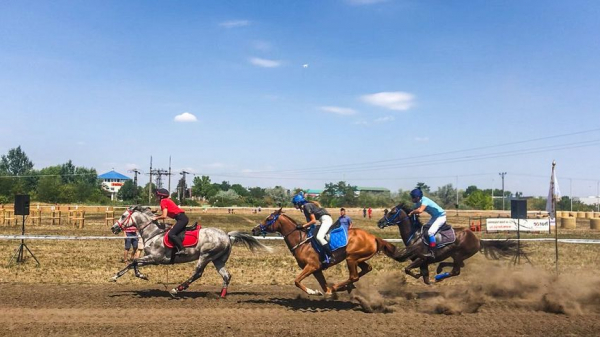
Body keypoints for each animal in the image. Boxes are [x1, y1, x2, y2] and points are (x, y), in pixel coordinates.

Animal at [110, 205, 272, 296]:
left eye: (123, 216)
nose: (113, 228)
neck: (154, 233)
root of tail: (227, 235)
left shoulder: (155, 258)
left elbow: (134, 261)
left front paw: (141, 276)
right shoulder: (151, 258)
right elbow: (132, 263)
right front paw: (115, 277)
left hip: (205, 256)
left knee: (197, 273)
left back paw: (177, 289)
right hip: (218, 260)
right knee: (226, 276)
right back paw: (222, 295)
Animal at [251, 209, 400, 296]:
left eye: (269, 219)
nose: (254, 229)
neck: (301, 240)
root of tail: (374, 237)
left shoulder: (312, 266)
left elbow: (297, 281)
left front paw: (313, 292)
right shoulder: (317, 269)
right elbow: (323, 287)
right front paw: (323, 291)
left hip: (351, 258)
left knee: (354, 276)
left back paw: (338, 286)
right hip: (358, 258)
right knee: (366, 269)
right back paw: (344, 287)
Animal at [378, 202, 524, 284]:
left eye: (392, 212)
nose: (379, 222)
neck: (415, 236)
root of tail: (478, 239)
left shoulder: (422, 259)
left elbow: (408, 269)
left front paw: (423, 276)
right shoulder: (423, 262)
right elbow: (423, 278)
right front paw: (422, 276)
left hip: (459, 254)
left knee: (456, 271)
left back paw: (439, 276)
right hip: (456, 255)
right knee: (458, 266)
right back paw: (440, 269)